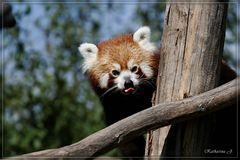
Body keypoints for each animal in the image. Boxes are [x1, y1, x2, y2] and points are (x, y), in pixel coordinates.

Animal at [78, 26, 158, 158]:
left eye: (134, 68)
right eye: (115, 72)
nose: (128, 83)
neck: (131, 98)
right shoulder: (113, 107)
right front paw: (137, 153)